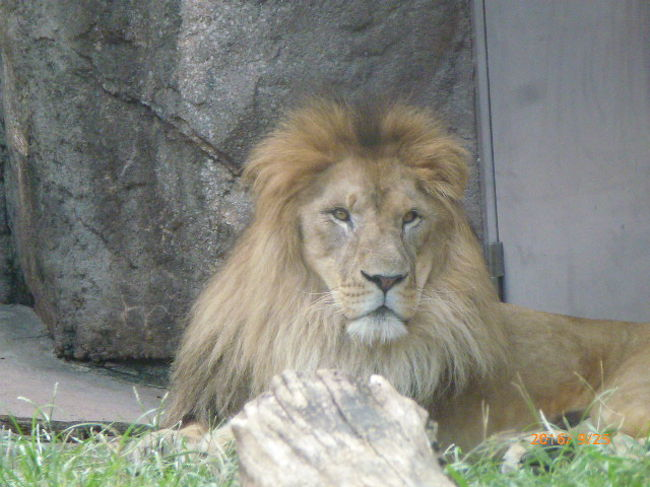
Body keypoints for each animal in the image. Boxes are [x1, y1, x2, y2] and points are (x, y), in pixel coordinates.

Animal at [163, 97, 648, 452]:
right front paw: (165, 441)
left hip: (621, 402)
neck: (312, 328)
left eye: (410, 218)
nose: (386, 280)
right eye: (340, 215)